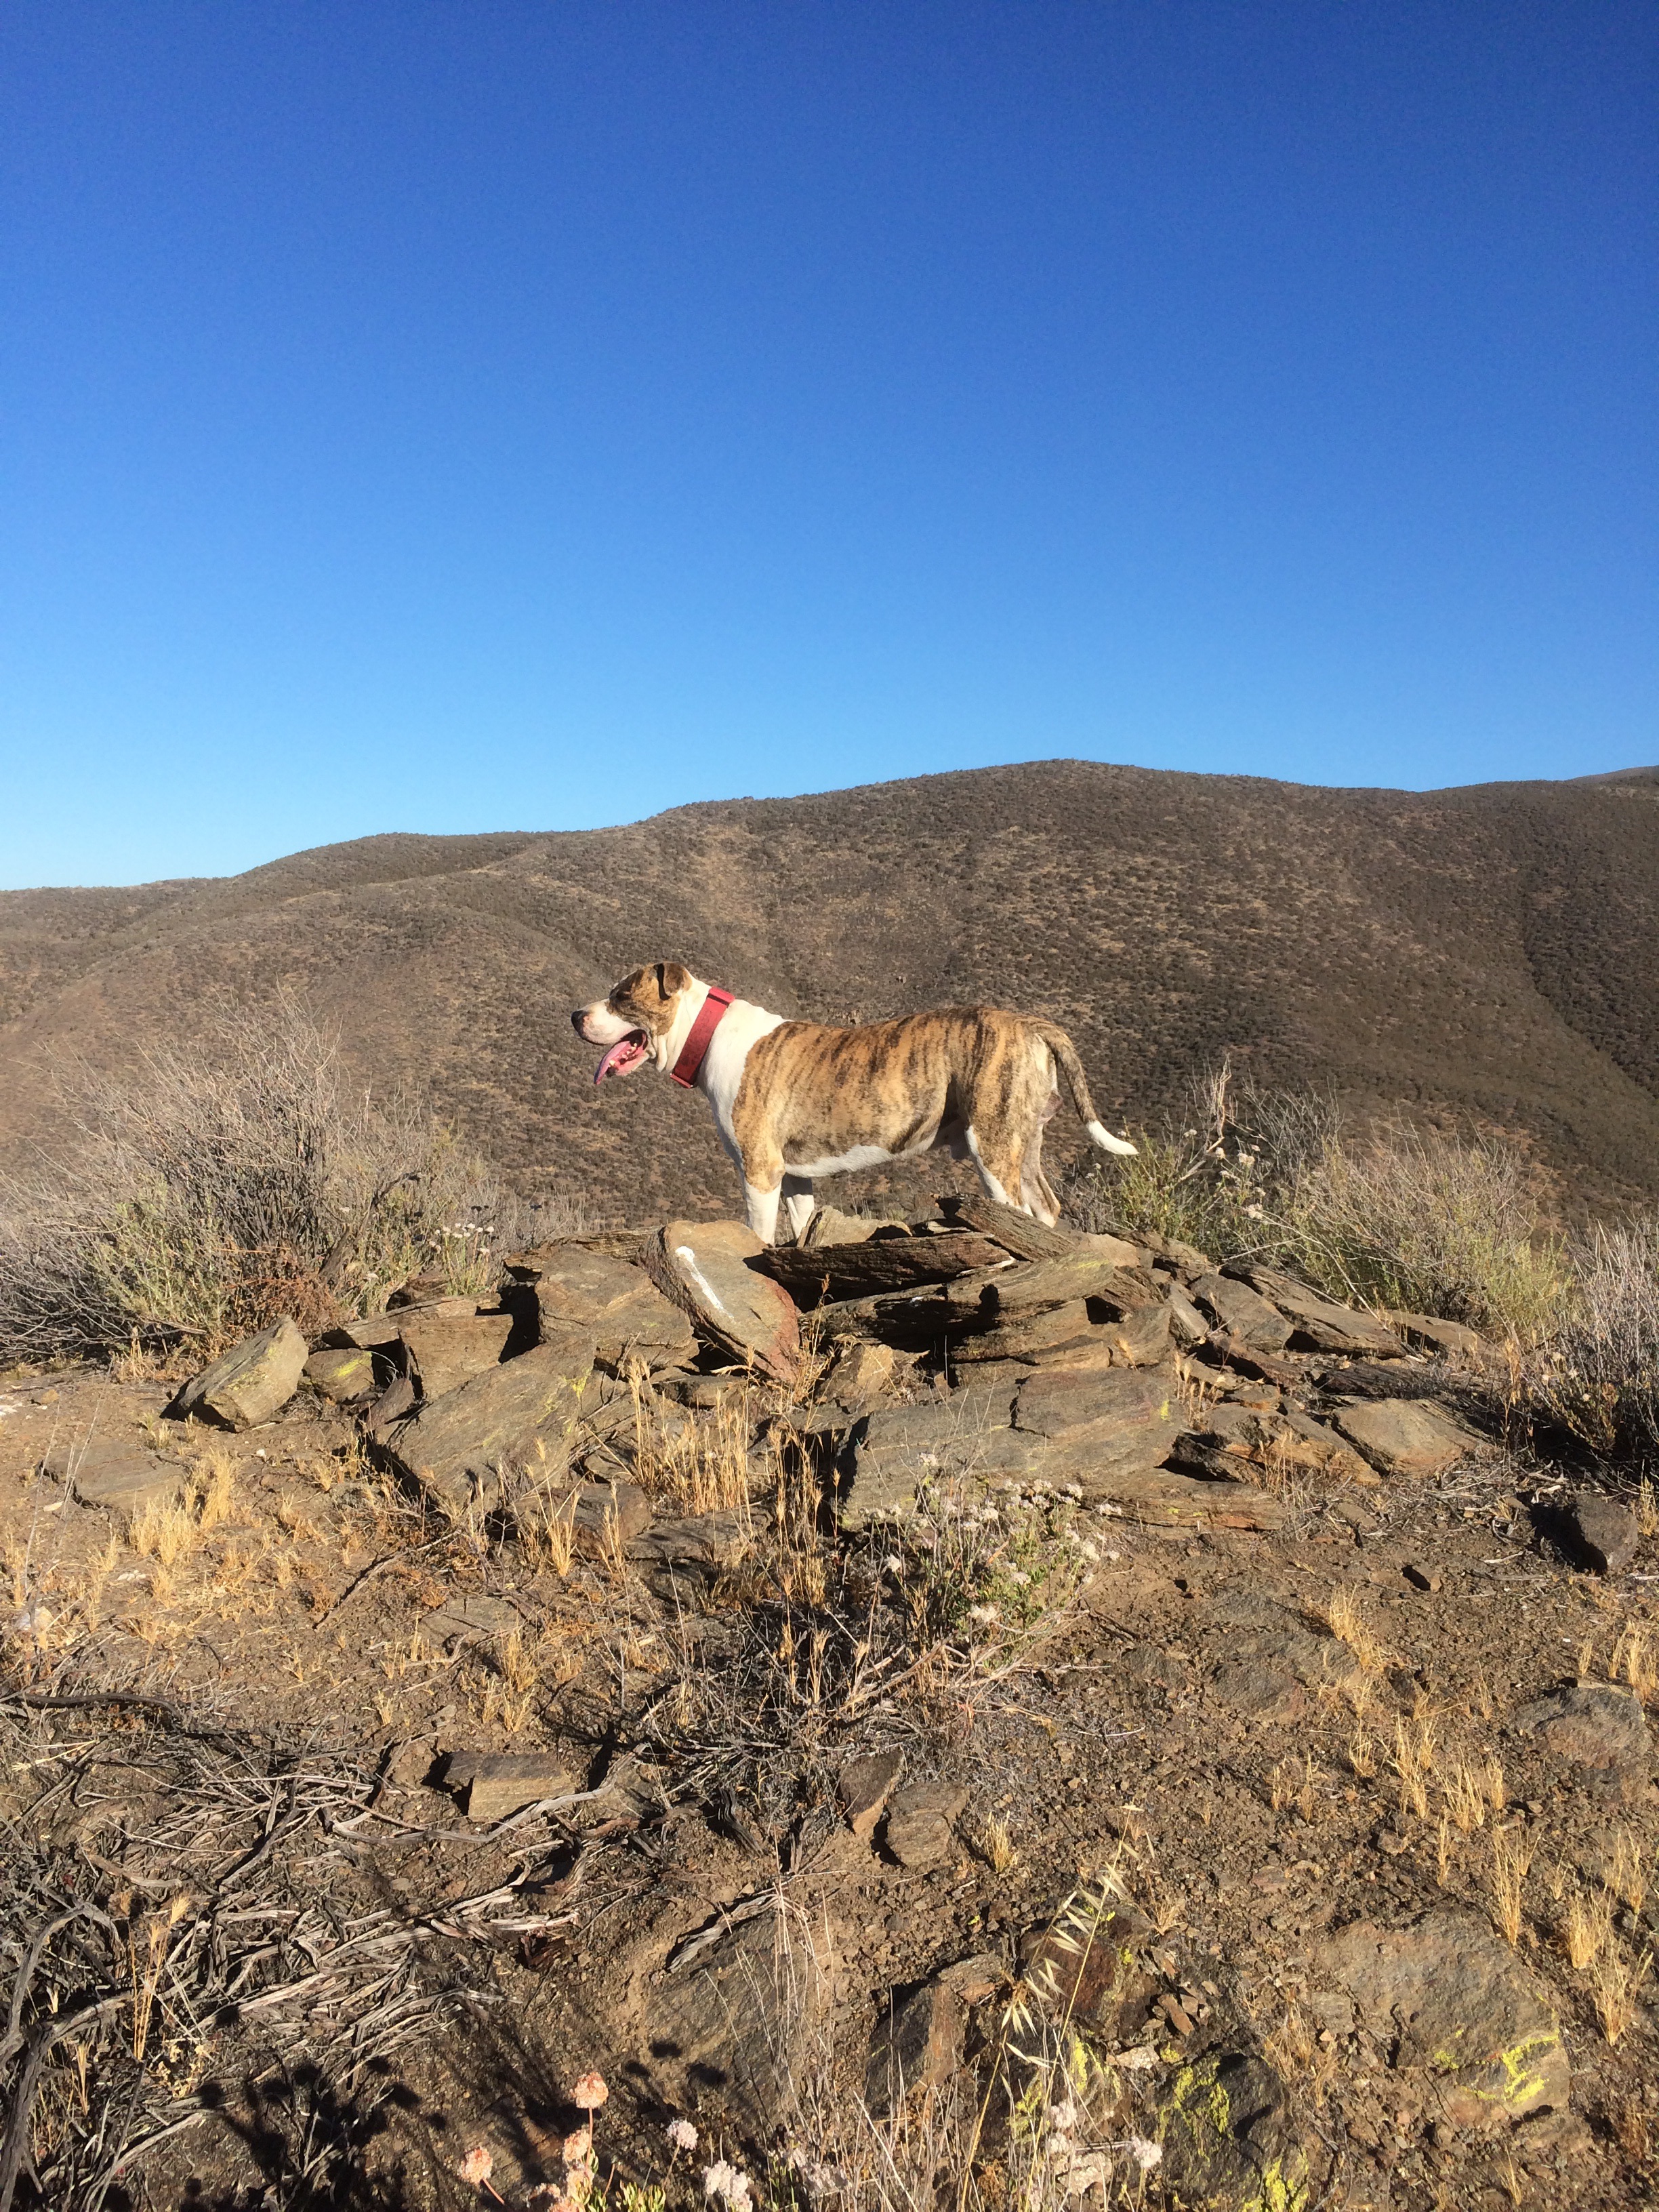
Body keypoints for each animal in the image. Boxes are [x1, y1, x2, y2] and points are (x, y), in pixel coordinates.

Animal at [573, 963, 1137, 1245]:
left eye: (622, 996)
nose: (575, 1015)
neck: (707, 1034)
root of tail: (1029, 1022)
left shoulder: (760, 1172)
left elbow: (759, 1233)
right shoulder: (795, 1178)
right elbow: (802, 1227)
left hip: (993, 1145)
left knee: (1013, 1213)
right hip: (1024, 1140)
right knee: (1044, 1207)